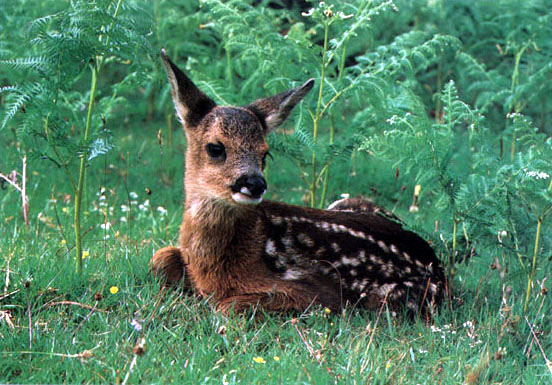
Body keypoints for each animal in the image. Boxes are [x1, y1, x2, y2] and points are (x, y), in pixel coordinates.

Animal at [153, 50, 446, 316]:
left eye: (265, 154)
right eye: (215, 148)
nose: (255, 183)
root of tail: (439, 267)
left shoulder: (318, 294)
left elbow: (228, 305)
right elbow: (159, 258)